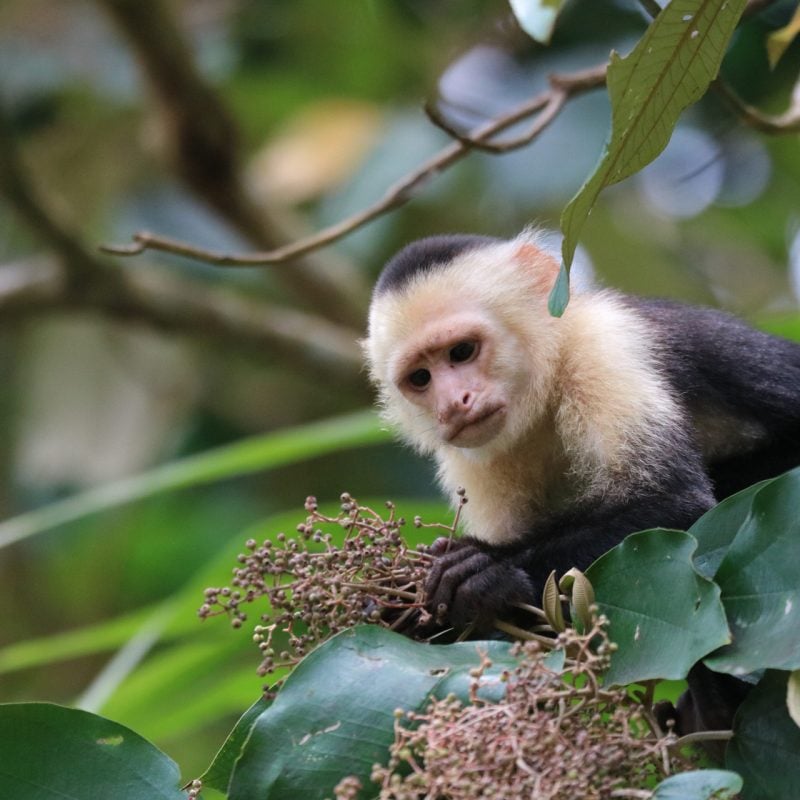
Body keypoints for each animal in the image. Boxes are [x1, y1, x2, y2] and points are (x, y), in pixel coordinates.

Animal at [362, 228, 800, 740]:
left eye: (462, 351)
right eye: (420, 378)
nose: (454, 404)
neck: (544, 386)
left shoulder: (604, 347)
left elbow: (677, 503)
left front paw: (486, 568)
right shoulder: (473, 459)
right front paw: (409, 616)